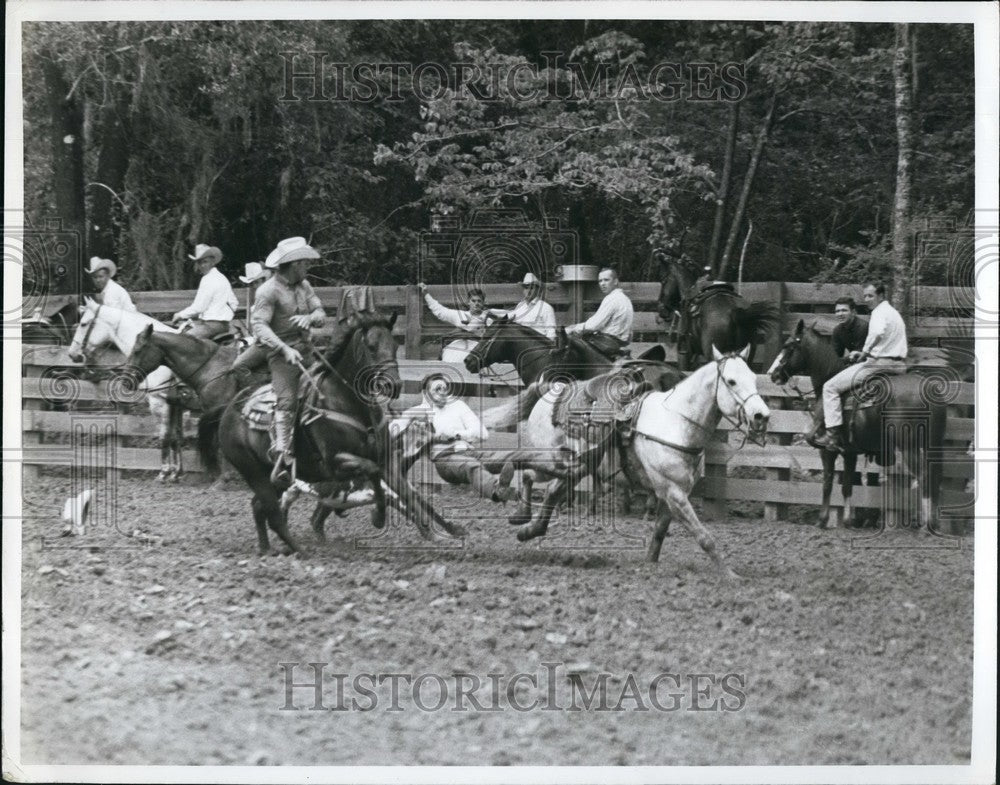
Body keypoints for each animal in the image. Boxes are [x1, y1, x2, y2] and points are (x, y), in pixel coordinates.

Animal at [67, 298, 187, 478]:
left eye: (83, 323)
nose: (72, 354)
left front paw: (164, 472)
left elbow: (164, 435)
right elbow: (175, 436)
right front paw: (176, 472)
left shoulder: (159, 401)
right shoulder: (174, 405)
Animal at [204, 310, 468, 556]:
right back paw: (299, 550)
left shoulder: (387, 461)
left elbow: (412, 497)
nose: (393, 385)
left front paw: (445, 532)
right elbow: (373, 474)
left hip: (273, 478)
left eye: (395, 345)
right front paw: (378, 516)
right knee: (273, 513)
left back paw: (266, 548)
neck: (347, 403)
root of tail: (228, 409)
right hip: (254, 472)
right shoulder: (336, 463)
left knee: (259, 507)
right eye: (371, 346)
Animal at [512, 346, 768, 580]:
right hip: (554, 461)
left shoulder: (670, 495)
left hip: (575, 468)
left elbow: (659, 533)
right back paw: (521, 515)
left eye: (754, 378)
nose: (761, 416)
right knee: (527, 472)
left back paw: (530, 528)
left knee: (551, 490)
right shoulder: (674, 493)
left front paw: (649, 566)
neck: (675, 423)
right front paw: (730, 575)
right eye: (731, 381)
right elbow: (705, 538)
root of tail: (550, 392)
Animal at [768, 320, 948, 532]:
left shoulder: (827, 451)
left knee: (924, 476)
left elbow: (828, 483)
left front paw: (822, 520)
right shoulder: (850, 452)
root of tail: (926, 387)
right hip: (932, 445)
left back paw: (925, 525)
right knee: (934, 476)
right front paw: (847, 521)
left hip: (908, 447)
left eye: (788, 346)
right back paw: (933, 523)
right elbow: (847, 485)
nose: (773, 375)